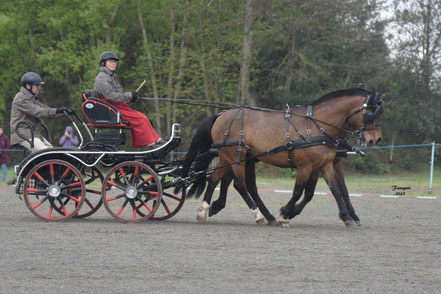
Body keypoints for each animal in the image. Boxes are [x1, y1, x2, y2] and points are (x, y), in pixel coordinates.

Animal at [178, 88, 382, 227]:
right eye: (372, 114)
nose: (375, 139)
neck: (317, 126)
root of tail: (221, 115)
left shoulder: (325, 165)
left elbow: (336, 191)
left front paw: (348, 217)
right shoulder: (306, 166)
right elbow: (299, 191)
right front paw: (286, 213)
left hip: (232, 157)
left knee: (217, 179)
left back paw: (205, 211)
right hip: (235, 155)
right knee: (240, 185)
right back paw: (258, 215)